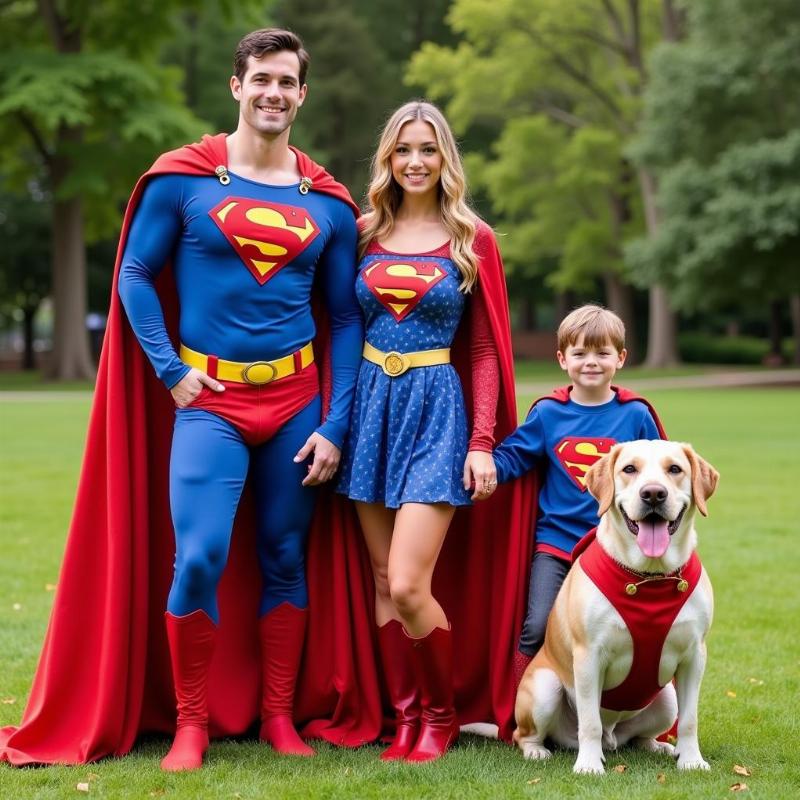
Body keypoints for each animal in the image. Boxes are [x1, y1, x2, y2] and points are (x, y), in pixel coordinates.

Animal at [516, 440, 720, 772]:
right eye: (629, 469)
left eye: (674, 469)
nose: (653, 493)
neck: (649, 577)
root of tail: (612, 736)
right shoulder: (588, 656)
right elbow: (589, 721)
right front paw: (589, 765)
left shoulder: (694, 655)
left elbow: (690, 720)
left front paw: (691, 760)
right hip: (545, 689)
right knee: (526, 734)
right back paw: (538, 751)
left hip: (667, 699)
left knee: (639, 736)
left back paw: (657, 745)